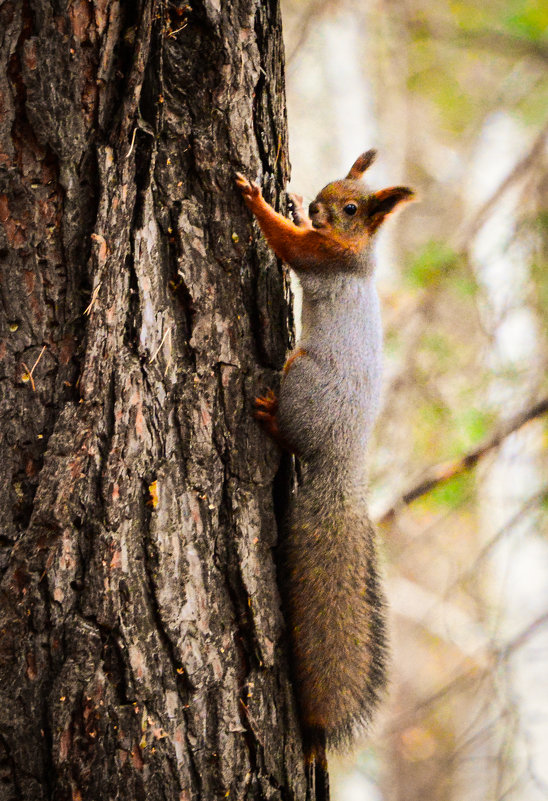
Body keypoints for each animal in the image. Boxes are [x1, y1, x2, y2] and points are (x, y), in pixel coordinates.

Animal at [235, 155, 416, 764]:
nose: (314, 206)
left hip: (301, 379)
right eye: (331, 186)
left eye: (353, 208)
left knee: (289, 434)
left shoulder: (323, 257)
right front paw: (286, 200)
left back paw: (268, 416)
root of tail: (343, 458)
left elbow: (288, 245)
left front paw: (257, 199)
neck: (358, 252)